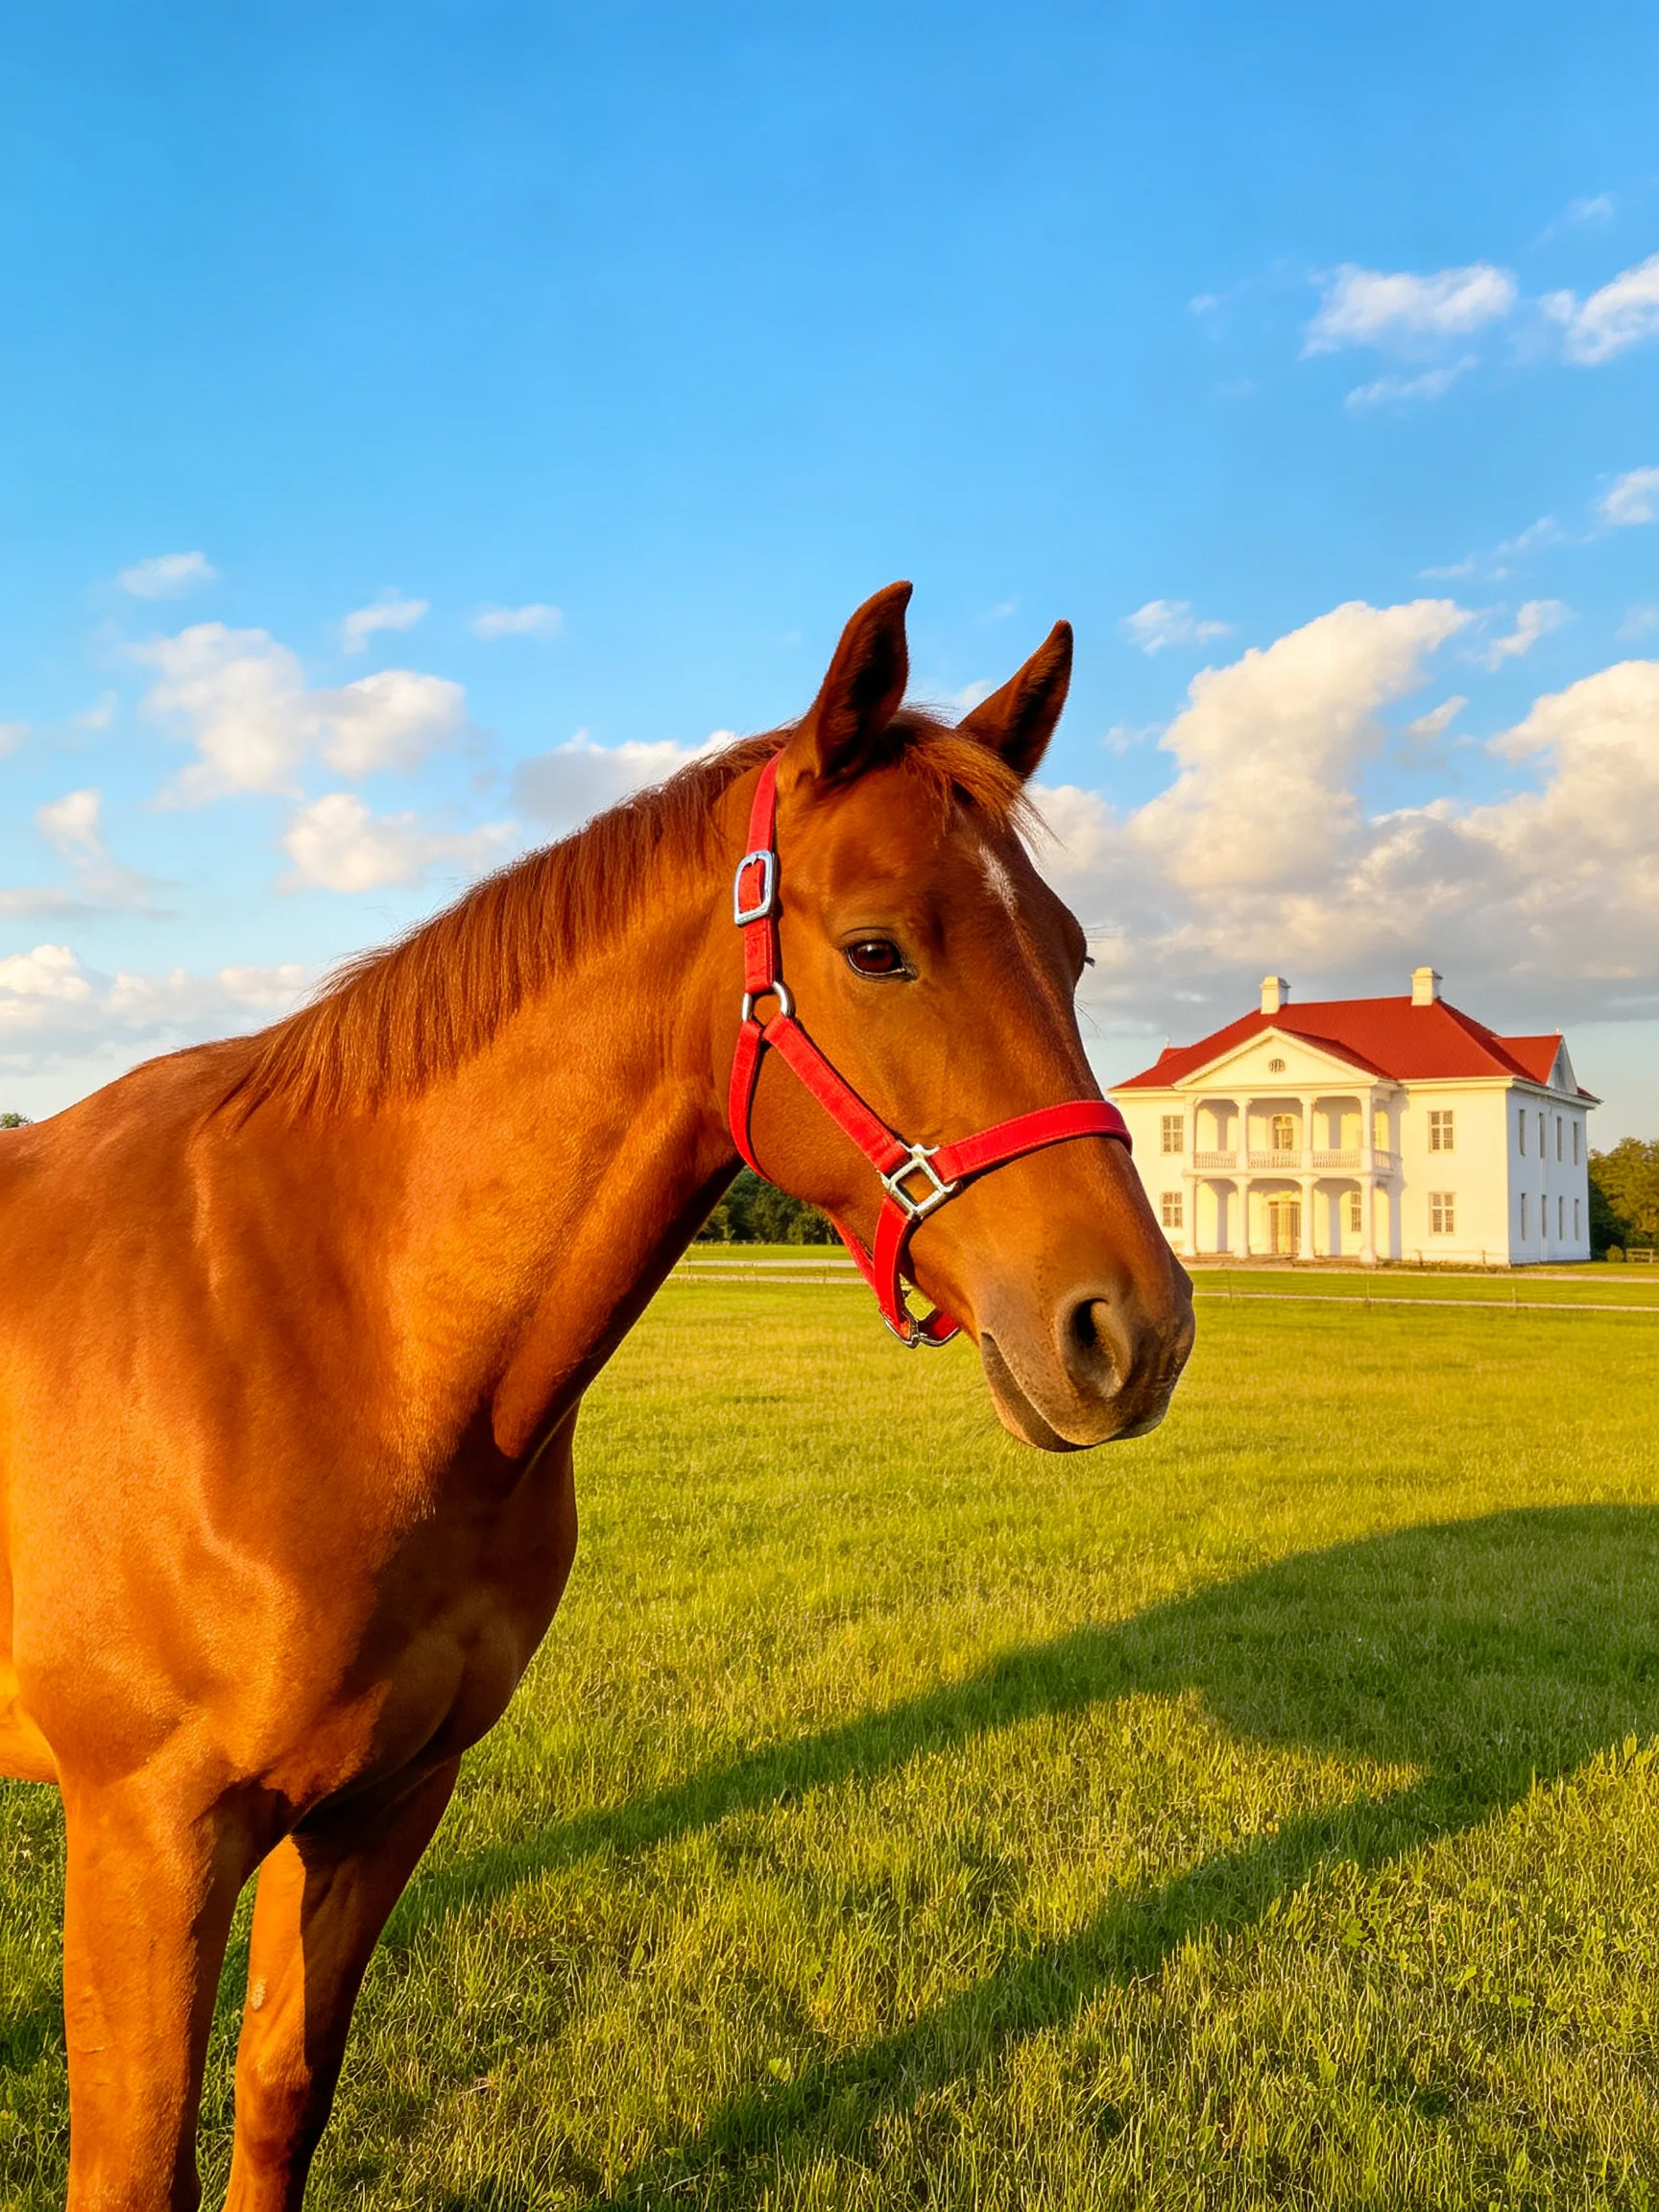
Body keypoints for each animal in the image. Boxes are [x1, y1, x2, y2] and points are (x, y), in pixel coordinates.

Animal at [0, 582, 1194, 2208]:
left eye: (1069, 956)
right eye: (879, 949)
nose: (1131, 1331)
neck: (323, 1332)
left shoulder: (384, 1802)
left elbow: (282, 2096)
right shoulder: (147, 1839)